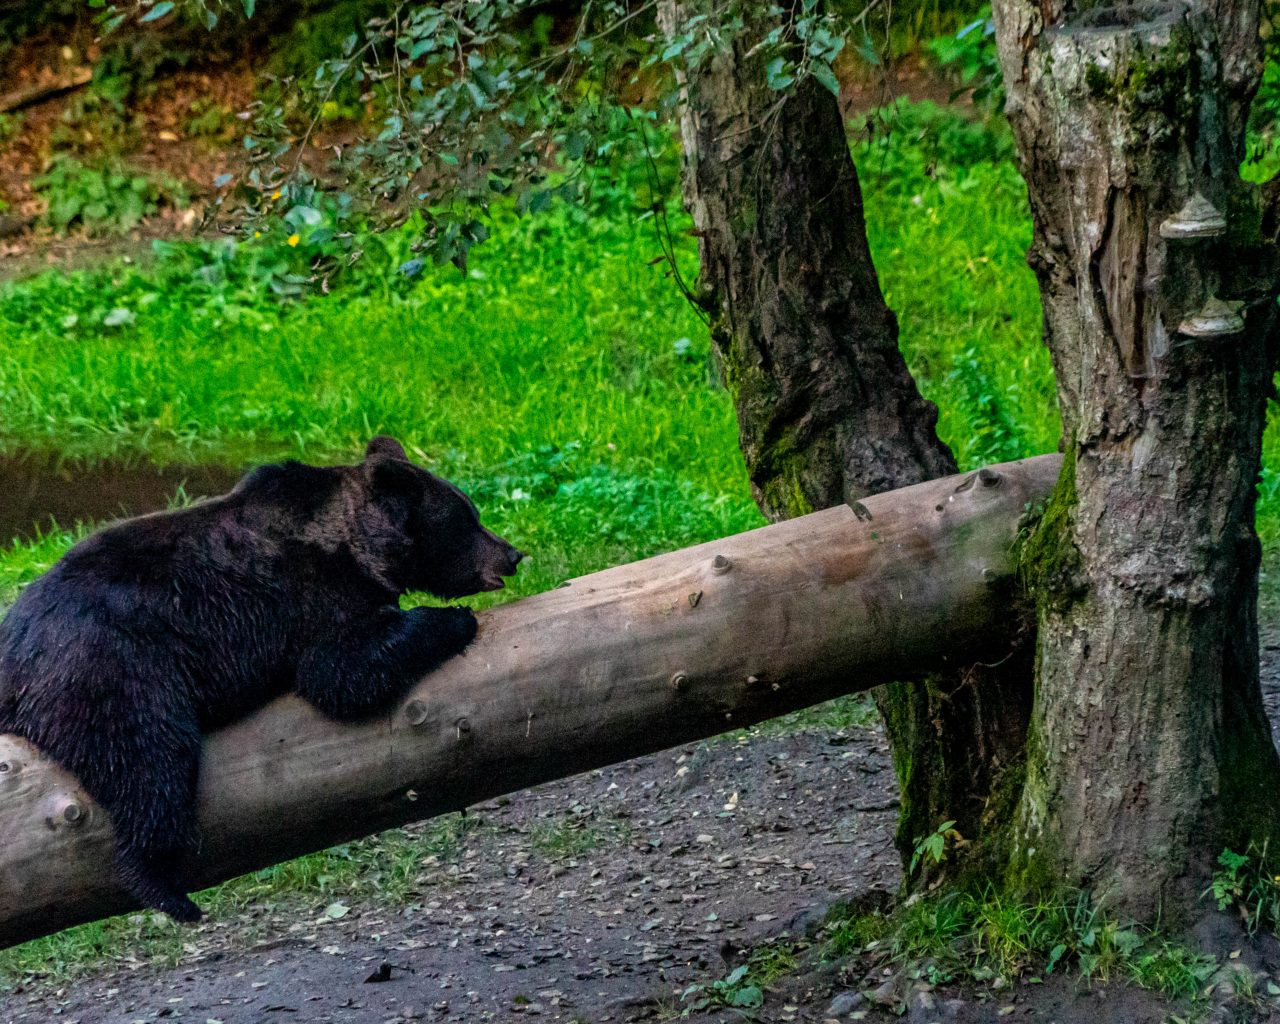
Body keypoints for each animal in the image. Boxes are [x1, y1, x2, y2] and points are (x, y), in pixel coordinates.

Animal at [0, 435, 524, 921]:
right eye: (466, 518)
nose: (512, 554)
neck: (356, 547)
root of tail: (13, 652)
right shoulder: (309, 596)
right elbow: (342, 672)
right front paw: (455, 619)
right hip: (110, 671)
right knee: (148, 763)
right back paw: (170, 892)